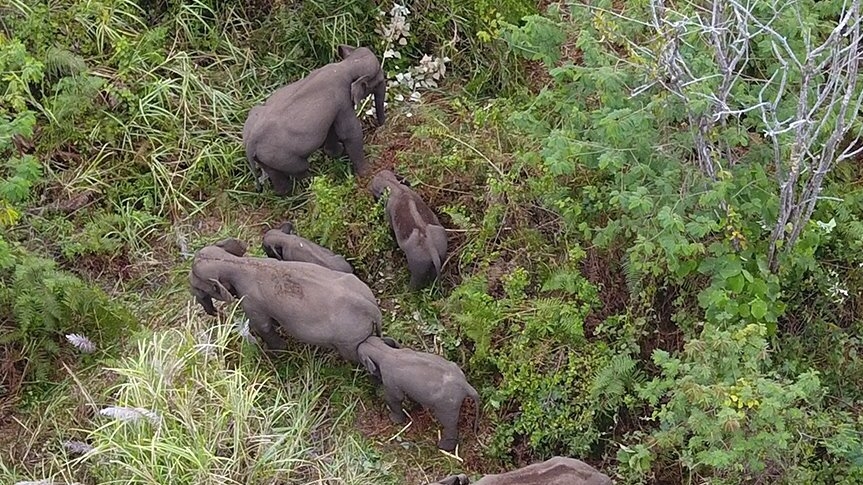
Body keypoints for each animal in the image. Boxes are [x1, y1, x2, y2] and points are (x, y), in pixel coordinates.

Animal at [188, 238, 381, 362]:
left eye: (197, 285)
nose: (217, 314)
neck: (236, 263)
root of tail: (373, 308)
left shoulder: (251, 301)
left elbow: (264, 326)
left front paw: (276, 353)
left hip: (350, 340)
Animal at [243, 44, 386, 195]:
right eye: (379, 82)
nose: (382, 126)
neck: (345, 65)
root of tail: (250, 143)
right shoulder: (343, 100)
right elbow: (350, 133)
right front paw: (367, 173)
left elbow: (331, 129)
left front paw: (337, 152)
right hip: (282, 157)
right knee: (301, 168)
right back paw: (313, 184)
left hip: (266, 158)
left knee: (276, 175)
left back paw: (287, 193)